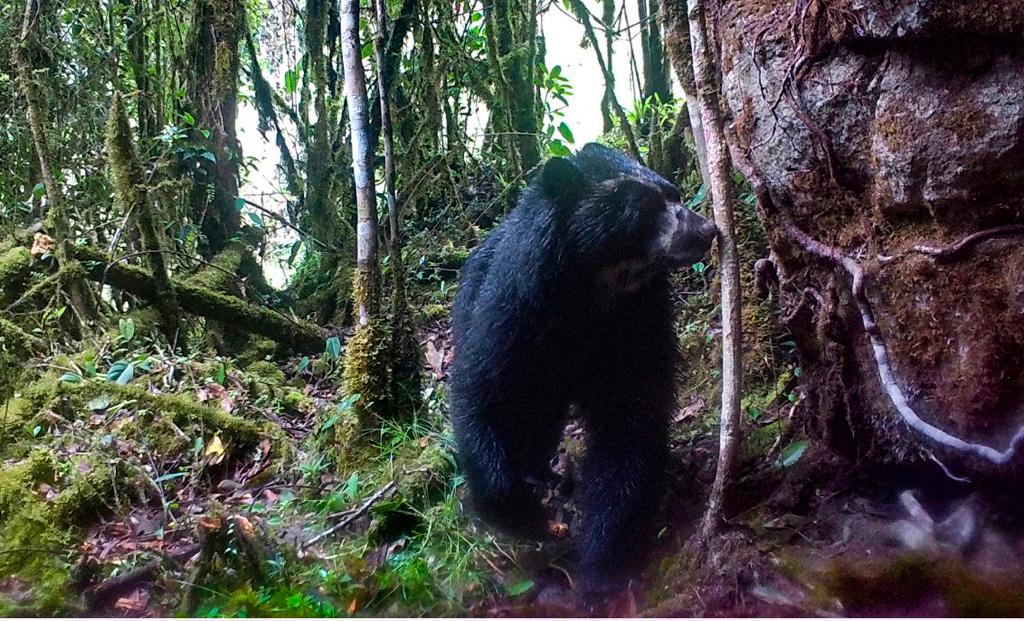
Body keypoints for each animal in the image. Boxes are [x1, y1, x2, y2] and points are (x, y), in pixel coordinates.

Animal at [449, 143, 717, 605]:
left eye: (675, 193)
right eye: (642, 207)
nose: (708, 229)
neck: (593, 294)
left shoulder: (636, 320)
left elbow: (629, 425)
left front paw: (603, 570)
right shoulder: (516, 308)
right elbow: (483, 389)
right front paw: (522, 512)